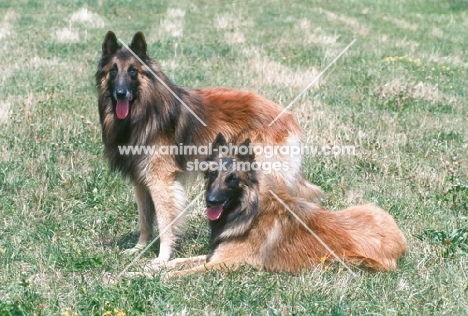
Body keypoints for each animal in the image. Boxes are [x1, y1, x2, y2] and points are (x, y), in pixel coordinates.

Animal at [95, 30, 322, 262]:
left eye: (133, 71)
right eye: (113, 71)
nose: (121, 93)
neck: (144, 110)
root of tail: (286, 115)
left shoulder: (161, 181)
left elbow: (166, 223)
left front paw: (162, 257)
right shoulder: (140, 180)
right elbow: (144, 219)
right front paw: (139, 249)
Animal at [149, 135, 406, 276]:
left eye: (232, 179)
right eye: (213, 174)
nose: (210, 201)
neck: (249, 212)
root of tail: (400, 242)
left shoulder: (225, 264)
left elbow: (182, 272)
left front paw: (155, 277)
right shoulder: (215, 256)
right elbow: (178, 262)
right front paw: (150, 268)